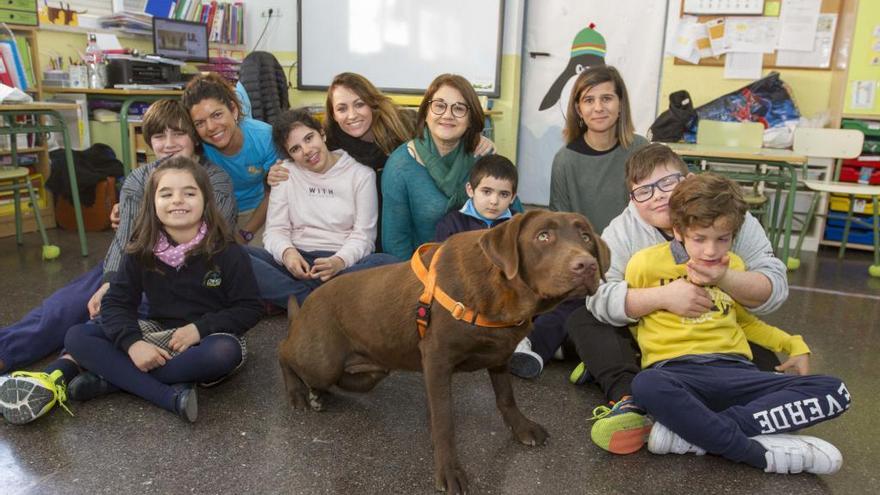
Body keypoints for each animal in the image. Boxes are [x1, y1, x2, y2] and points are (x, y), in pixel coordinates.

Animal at [278, 211, 608, 494]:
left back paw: (318, 394)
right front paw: (449, 471)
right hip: (321, 358)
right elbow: (444, 421)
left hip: (371, 370)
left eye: (586, 237)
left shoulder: (501, 356)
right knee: (284, 352)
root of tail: (309, 301)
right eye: (543, 236)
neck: (502, 295)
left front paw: (522, 427)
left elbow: (506, 398)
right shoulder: (437, 361)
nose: (587, 265)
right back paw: (298, 393)